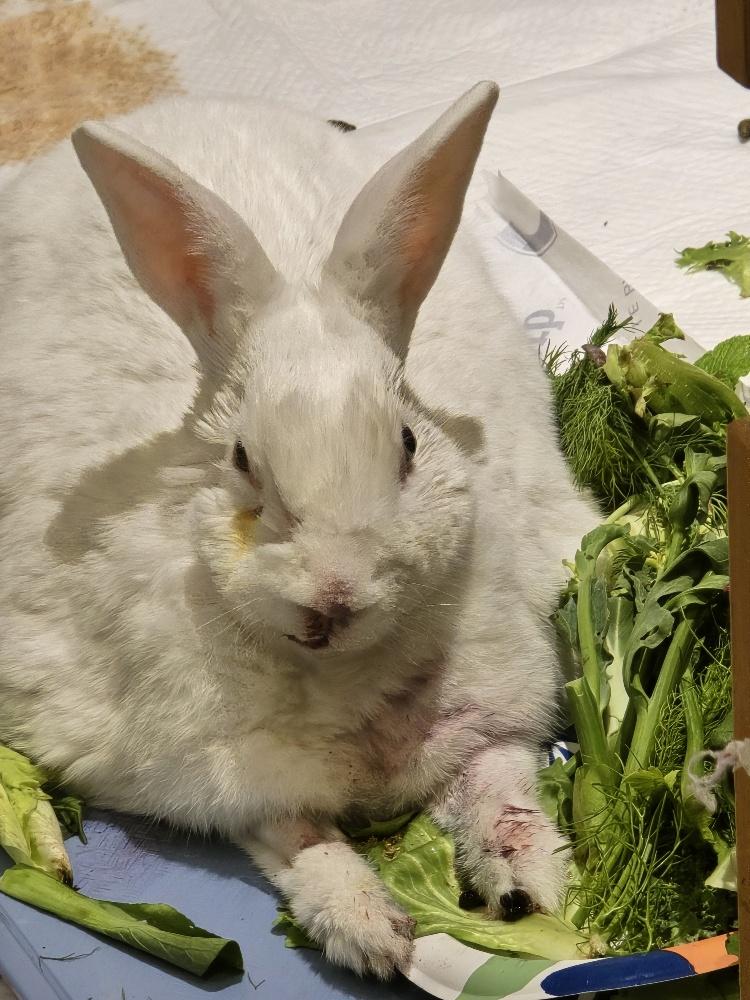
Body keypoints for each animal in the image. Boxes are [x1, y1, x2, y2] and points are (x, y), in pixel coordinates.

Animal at [0, 81, 598, 978]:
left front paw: (530, 886)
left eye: (408, 445)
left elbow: (501, 786)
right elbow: (301, 845)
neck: (345, 671)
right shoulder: (224, 779)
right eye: (244, 460)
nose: (335, 596)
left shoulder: (494, 715)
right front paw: (372, 932)